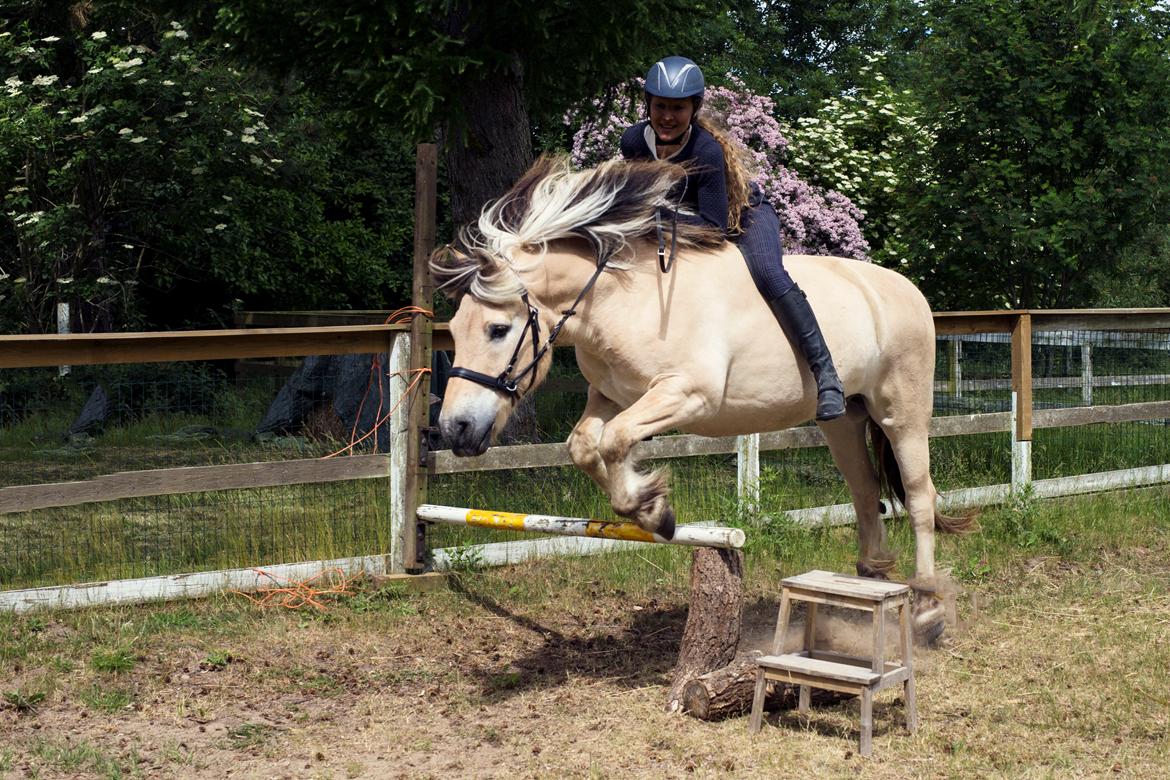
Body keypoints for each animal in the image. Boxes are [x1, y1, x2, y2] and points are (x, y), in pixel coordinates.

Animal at [435, 155, 973, 636]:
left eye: (499, 330)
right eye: (456, 332)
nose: (455, 429)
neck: (623, 299)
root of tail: (906, 289)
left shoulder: (688, 393)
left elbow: (615, 441)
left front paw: (653, 509)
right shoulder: (610, 396)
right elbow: (586, 445)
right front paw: (650, 507)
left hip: (902, 414)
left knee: (919, 497)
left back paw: (926, 608)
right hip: (842, 421)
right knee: (865, 493)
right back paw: (866, 588)